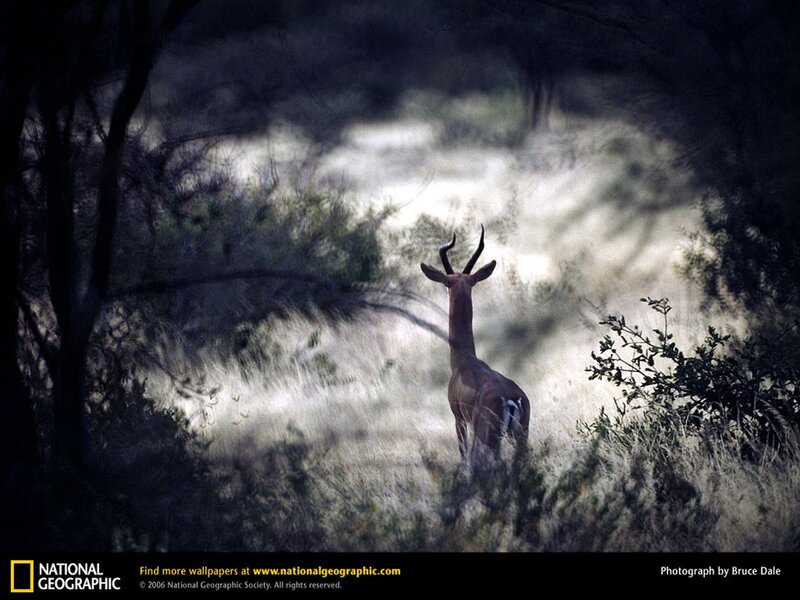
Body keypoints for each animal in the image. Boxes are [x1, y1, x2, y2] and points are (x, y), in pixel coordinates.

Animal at [421, 225, 530, 463]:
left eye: (446, 284)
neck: (464, 360)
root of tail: (509, 399)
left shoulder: (459, 419)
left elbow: (463, 456)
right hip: (521, 436)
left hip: (488, 437)